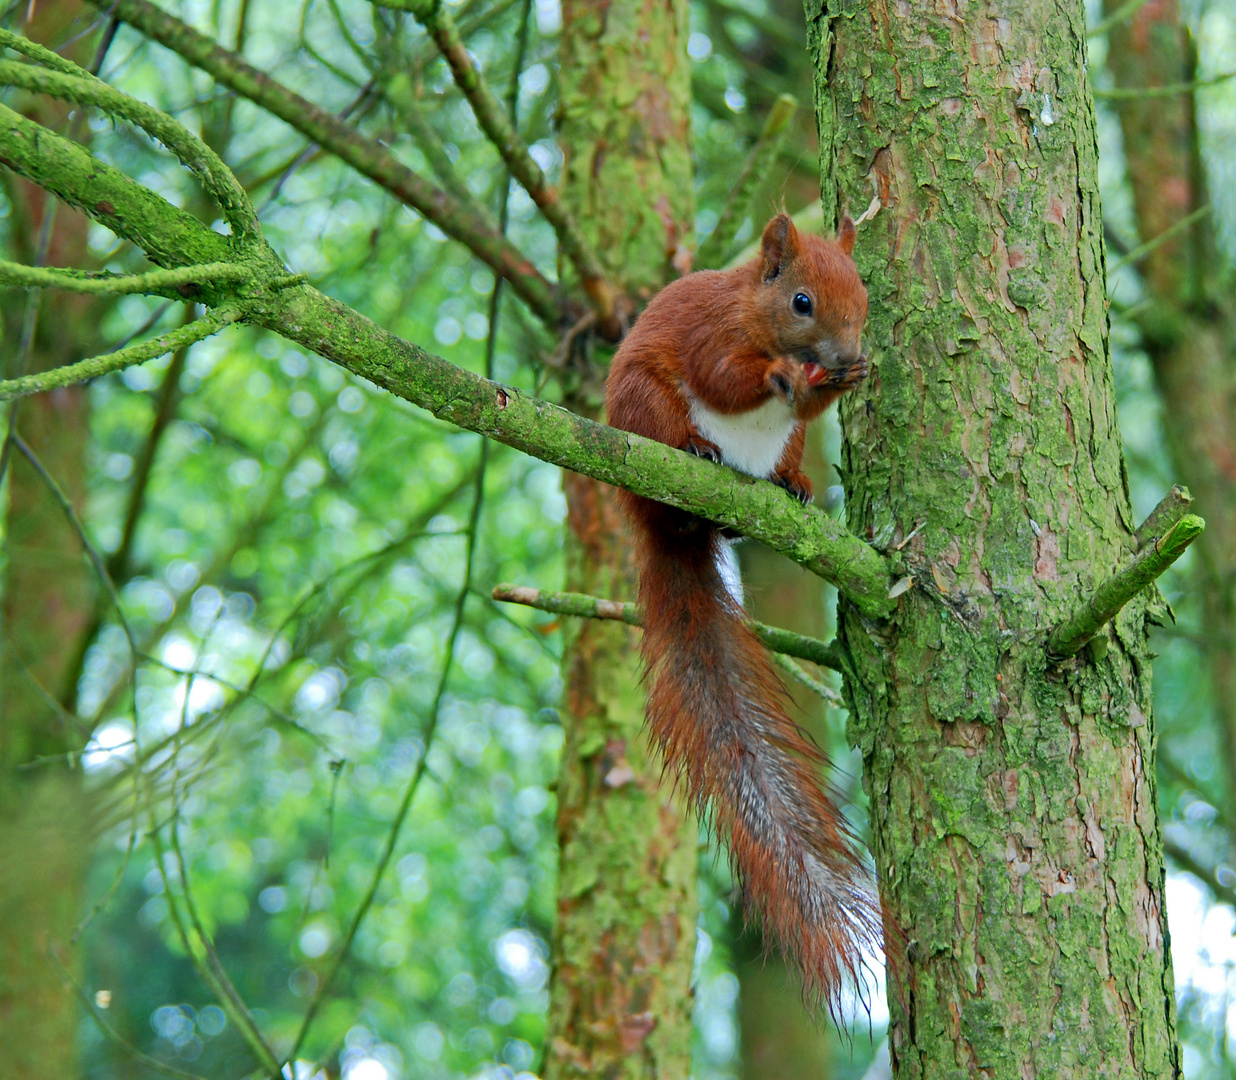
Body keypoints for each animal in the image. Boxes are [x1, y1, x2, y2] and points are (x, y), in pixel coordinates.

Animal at [600, 212, 875, 1008]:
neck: (754, 311)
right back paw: (695, 456)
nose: (845, 356)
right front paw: (779, 375)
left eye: (864, 297)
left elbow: (809, 407)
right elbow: (727, 375)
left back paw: (789, 487)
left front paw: (842, 381)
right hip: (644, 403)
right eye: (803, 302)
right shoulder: (710, 336)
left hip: (780, 449)